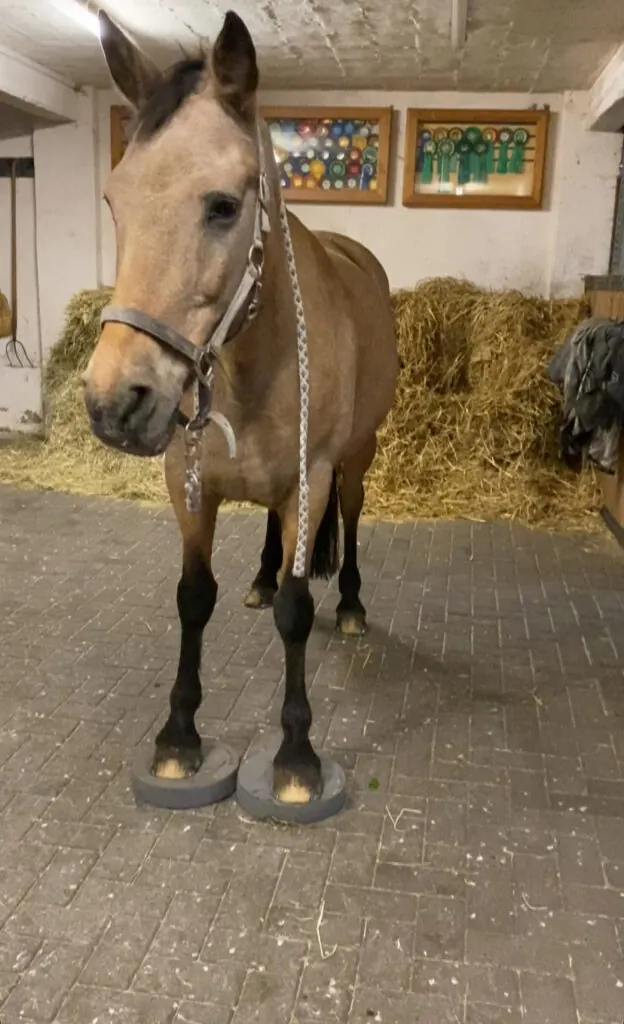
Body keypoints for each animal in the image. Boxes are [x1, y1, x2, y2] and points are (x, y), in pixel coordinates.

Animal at [84, 9, 398, 807]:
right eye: (114, 202)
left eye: (223, 206)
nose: (114, 402)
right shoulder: (187, 484)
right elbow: (194, 597)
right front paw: (178, 740)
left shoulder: (310, 482)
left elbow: (297, 608)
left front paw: (296, 756)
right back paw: (258, 577)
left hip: (357, 459)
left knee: (351, 520)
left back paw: (352, 604)